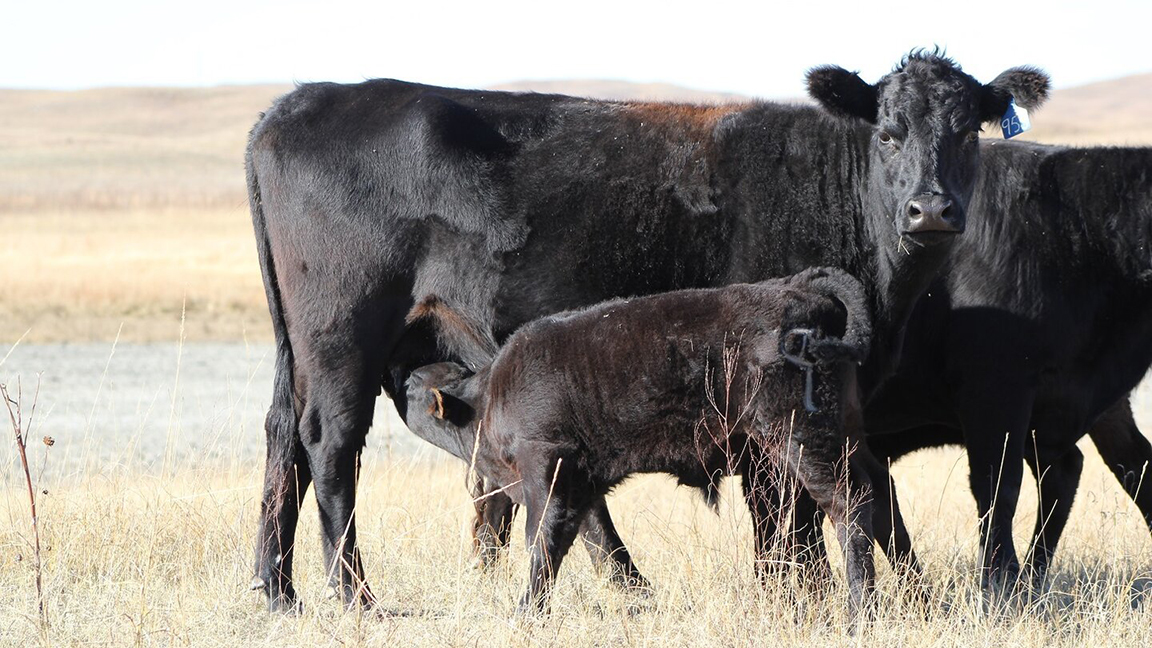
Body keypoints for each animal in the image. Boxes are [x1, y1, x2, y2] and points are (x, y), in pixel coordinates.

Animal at [403, 267, 879, 619]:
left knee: (846, 507)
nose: (403, 376)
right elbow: (599, 543)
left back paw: (859, 611)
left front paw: (527, 612)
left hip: (800, 441)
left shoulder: (546, 471)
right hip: (836, 443)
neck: (489, 395)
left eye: (411, 387)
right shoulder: (583, 488)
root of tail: (797, 290)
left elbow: (542, 542)